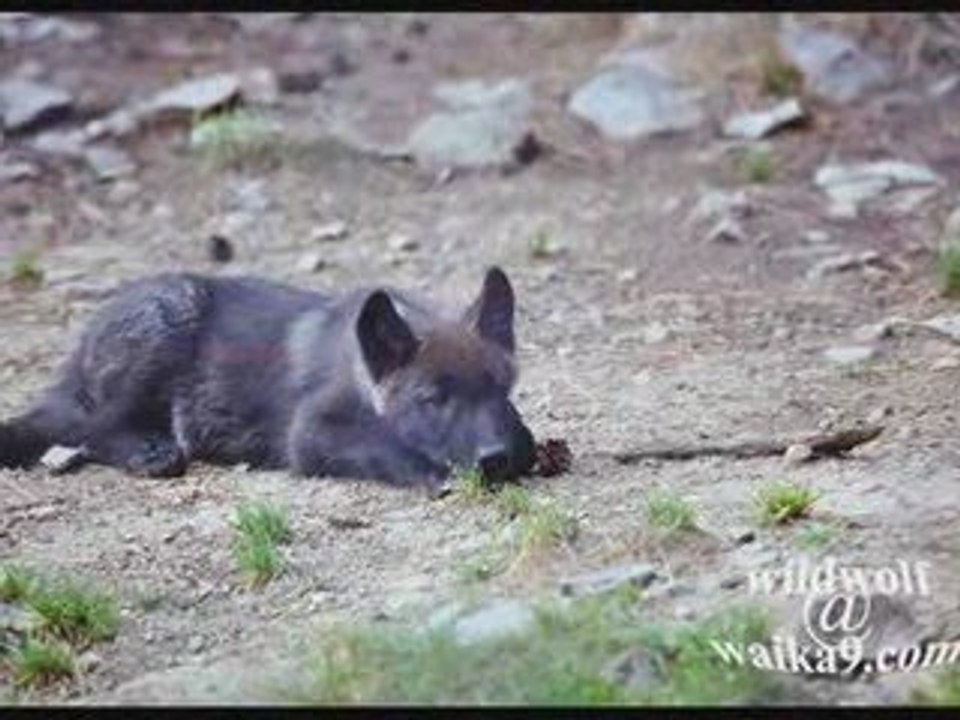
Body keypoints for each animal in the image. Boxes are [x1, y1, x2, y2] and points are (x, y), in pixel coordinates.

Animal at [0, 267, 536, 489]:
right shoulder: (310, 435)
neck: (358, 372)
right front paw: (431, 473)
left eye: (501, 390)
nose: (496, 459)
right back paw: (148, 452)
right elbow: (380, 445)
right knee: (90, 427)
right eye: (432, 399)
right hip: (171, 319)